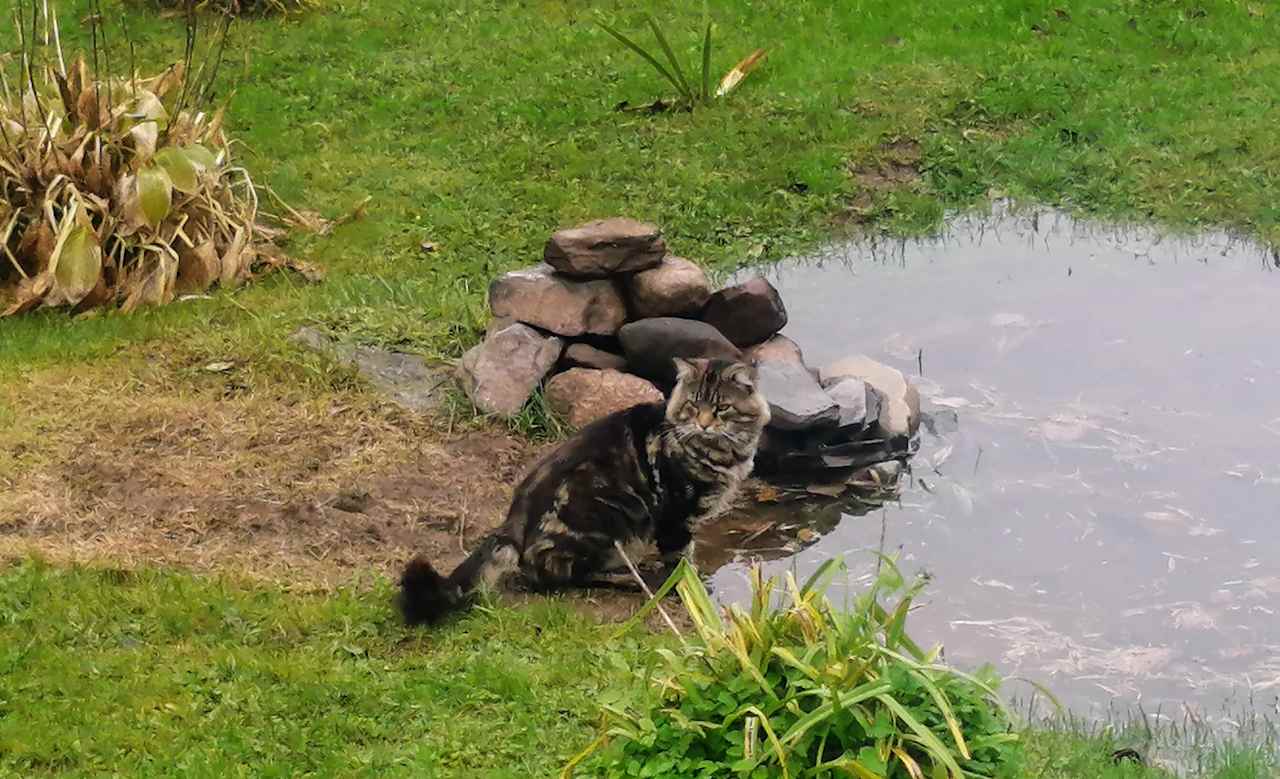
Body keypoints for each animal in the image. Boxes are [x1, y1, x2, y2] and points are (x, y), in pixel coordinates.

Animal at [394, 358, 768, 626]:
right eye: (693, 405)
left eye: (721, 409)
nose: (704, 424)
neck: (722, 452)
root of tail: (515, 518)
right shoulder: (677, 514)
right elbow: (681, 559)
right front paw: (687, 588)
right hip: (614, 514)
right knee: (560, 574)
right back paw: (629, 577)